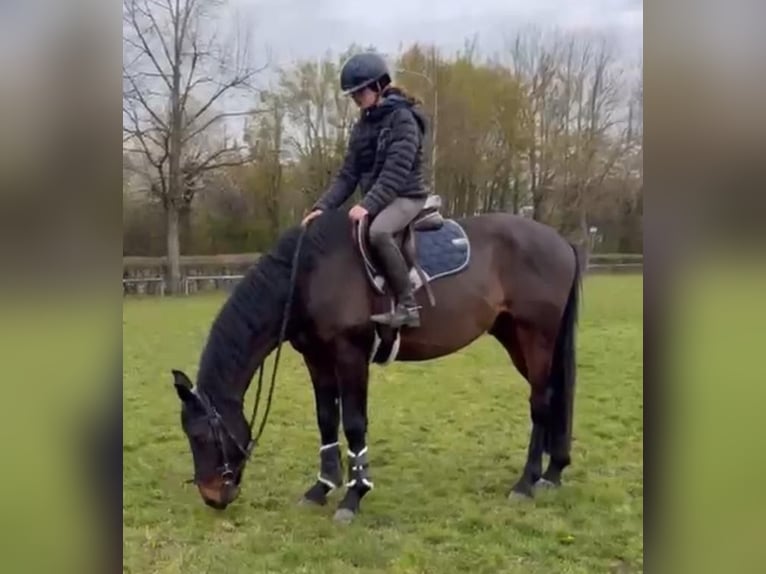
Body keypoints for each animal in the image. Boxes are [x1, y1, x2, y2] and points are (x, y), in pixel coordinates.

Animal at [170, 204, 581, 523]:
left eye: (202, 436)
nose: (212, 496)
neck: (309, 274)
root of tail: (561, 241)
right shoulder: (316, 358)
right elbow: (326, 419)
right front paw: (321, 488)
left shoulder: (351, 355)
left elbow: (354, 424)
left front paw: (354, 495)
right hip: (514, 336)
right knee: (552, 396)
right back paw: (553, 471)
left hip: (536, 335)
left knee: (541, 402)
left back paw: (526, 482)